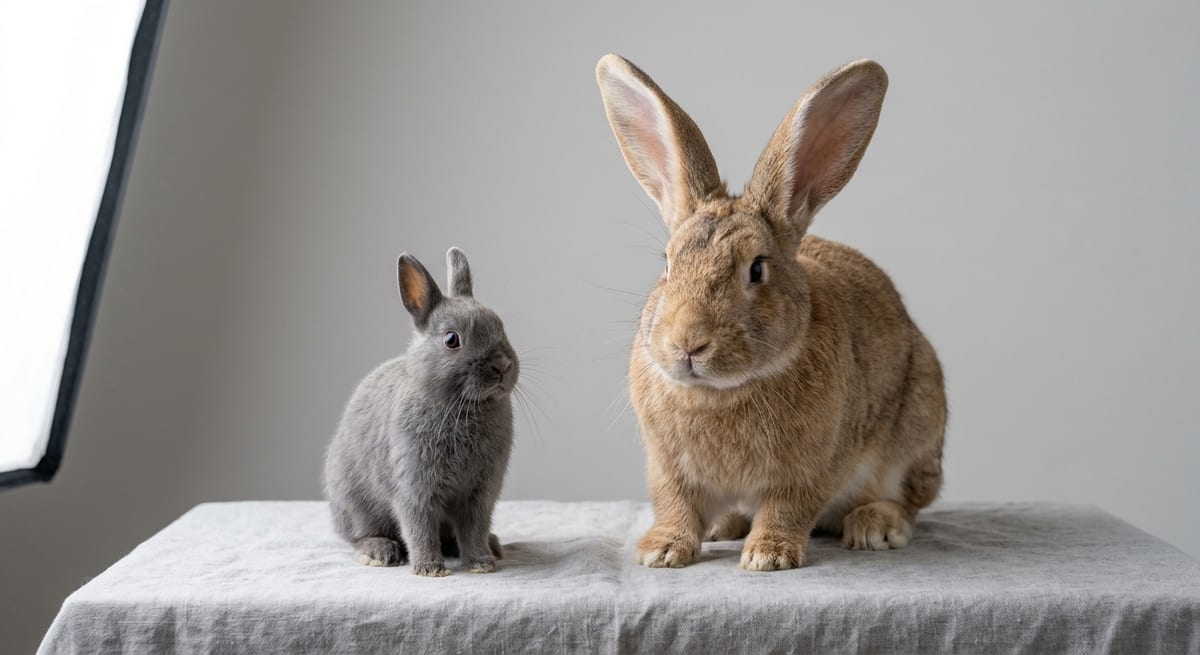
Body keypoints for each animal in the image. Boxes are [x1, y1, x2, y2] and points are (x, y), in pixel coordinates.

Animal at [323, 247, 518, 577]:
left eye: (501, 327)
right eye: (452, 339)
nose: (502, 366)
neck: (463, 406)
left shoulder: (481, 492)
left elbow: (475, 528)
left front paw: (481, 563)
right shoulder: (415, 486)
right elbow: (419, 527)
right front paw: (431, 570)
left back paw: (492, 546)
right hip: (355, 503)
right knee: (359, 535)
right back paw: (379, 552)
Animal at [595, 54, 947, 571]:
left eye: (756, 269)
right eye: (667, 263)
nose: (687, 343)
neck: (718, 392)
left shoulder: (808, 468)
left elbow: (787, 507)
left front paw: (769, 556)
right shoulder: (668, 469)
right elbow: (675, 504)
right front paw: (661, 550)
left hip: (917, 428)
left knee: (909, 500)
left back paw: (874, 526)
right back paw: (723, 525)